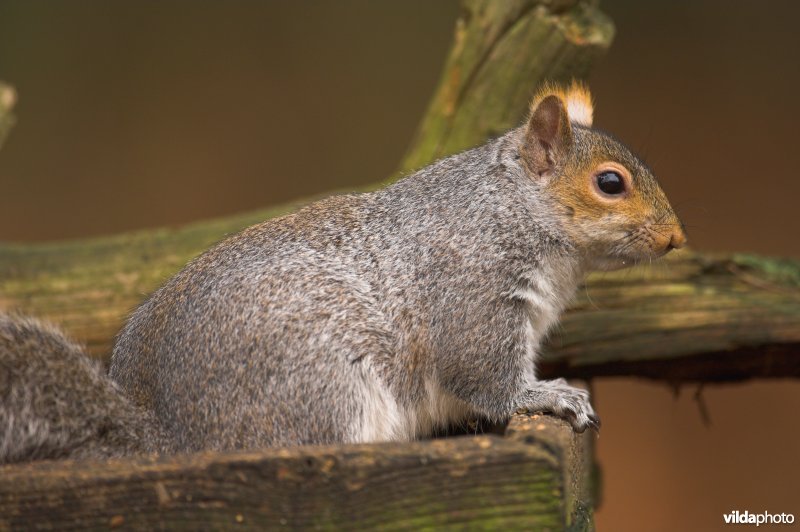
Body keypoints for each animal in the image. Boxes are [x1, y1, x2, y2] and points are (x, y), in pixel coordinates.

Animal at [1, 82, 688, 462]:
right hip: (326, 384)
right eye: (610, 184)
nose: (676, 238)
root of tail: (168, 439)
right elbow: (486, 376)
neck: (509, 208)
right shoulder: (474, 296)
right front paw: (552, 396)